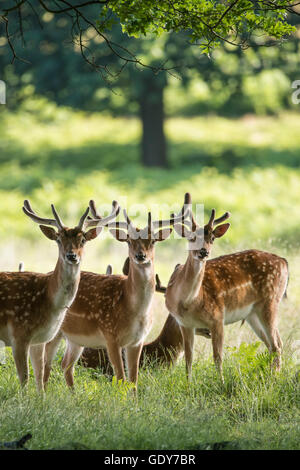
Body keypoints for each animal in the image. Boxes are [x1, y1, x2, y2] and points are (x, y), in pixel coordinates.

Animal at [0, 200, 119, 392]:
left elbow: (39, 375)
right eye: (58, 239)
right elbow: (24, 378)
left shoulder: (39, 339)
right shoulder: (19, 333)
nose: (71, 256)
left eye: (83, 239)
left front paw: (41, 398)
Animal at [44, 202, 188, 390]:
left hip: (76, 339)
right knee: (45, 360)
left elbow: (133, 380)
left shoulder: (137, 341)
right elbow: (121, 378)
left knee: (66, 364)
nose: (140, 255)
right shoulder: (110, 336)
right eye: (129, 240)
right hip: (54, 330)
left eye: (153, 240)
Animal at [164, 193, 288, 380]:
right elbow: (188, 359)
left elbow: (217, 357)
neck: (189, 302)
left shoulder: (217, 317)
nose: (204, 252)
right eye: (192, 238)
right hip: (253, 313)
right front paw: (188, 383)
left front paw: (220, 382)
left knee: (276, 345)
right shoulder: (185, 323)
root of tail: (284, 261)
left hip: (271, 301)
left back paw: (274, 379)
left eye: (212, 238)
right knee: (273, 343)